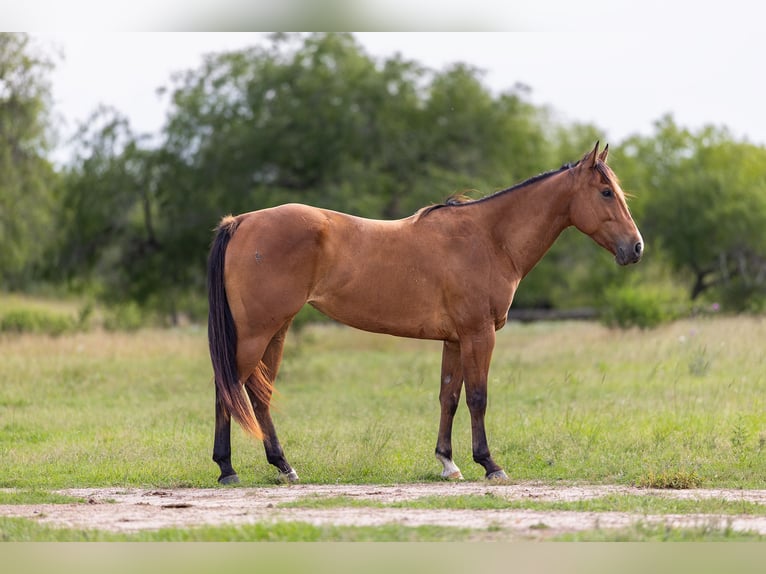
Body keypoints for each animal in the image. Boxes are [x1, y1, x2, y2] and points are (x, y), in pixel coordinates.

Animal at [207, 142, 643, 484]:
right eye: (606, 192)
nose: (636, 247)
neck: (489, 238)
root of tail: (241, 221)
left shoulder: (455, 339)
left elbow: (448, 397)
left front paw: (448, 463)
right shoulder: (479, 334)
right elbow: (478, 397)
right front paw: (490, 464)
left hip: (276, 330)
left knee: (258, 394)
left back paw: (284, 466)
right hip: (256, 332)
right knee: (227, 388)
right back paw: (227, 469)